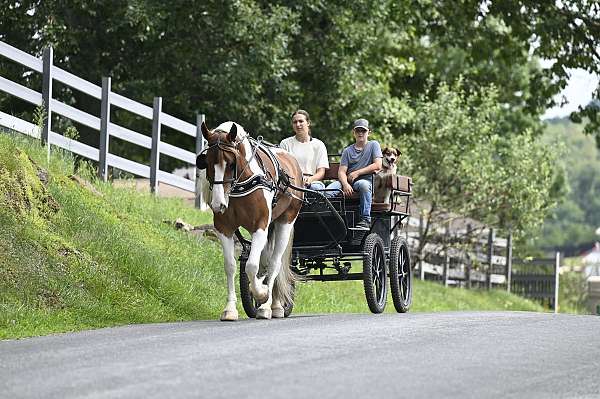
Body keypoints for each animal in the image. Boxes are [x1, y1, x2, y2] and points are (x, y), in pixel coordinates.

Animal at [196, 120, 302, 320]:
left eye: (231, 164)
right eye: (206, 163)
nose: (218, 204)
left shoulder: (260, 226)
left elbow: (252, 266)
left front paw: (261, 294)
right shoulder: (224, 228)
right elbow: (230, 266)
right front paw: (230, 309)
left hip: (285, 222)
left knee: (274, 264)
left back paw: (267, 306)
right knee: (267, 262)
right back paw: (276, 305)